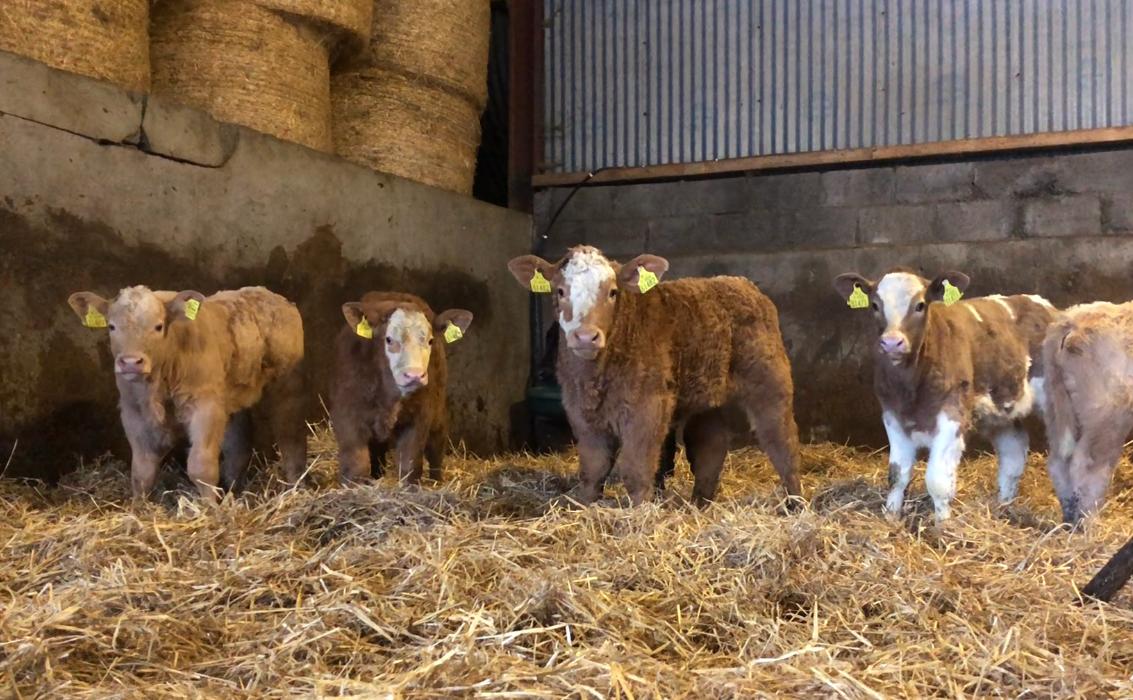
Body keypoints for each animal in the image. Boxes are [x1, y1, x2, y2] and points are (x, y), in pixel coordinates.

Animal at [67, 285, 307, 500]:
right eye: (111, 326)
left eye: (158, 326)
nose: (131, 362)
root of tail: (271, 295)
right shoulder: (133, 411)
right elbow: (142, 471)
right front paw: (138, 508)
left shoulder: (205, 408)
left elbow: (200, 466)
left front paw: (211, 509)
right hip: (232, 397)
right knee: (238, 445)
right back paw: (233, 489)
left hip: (287, 384)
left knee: (290, 435)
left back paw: (295, 485)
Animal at [329, 292, 472, 486]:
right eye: (389, 340)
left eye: (430, 340)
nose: (414, 375)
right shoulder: (347, 415)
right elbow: (355, 465)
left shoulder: (419, 417)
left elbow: (409, 464)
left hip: (438, 411)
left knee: (436, 447)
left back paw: (437, 481)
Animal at [507, 245, 802, 508]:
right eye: (560, 291)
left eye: (613, 292)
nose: (586, 337)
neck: (596, 378)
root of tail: (742, 283)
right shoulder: (581, 415)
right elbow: (593, 471)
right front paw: (586, 509)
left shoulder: (647, 409)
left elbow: (636, 470)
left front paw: (639, 516)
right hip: (708, 396)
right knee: (711, 446)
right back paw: (700, 504)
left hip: (770, 382)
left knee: (781, 442)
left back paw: (795, 503)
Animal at [834, 268, 1057, 522]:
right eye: (874, 305)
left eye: (920, 305)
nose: (892, 342)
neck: (911, 386)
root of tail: (1044, 305)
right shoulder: (892, 415)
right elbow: (897, 474)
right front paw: (891, 517)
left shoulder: (951, 414)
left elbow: (937, 480)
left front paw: (942, 525)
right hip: (1000, 408)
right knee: (1014, 451)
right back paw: (1002, 506)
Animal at [1042, 301, 1133, 524]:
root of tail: (1072, 321)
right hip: (1107, 414)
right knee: (1087, 467)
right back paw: (1090, 522)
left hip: (1055, 407)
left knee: (1059, 463)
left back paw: (1070, 519)